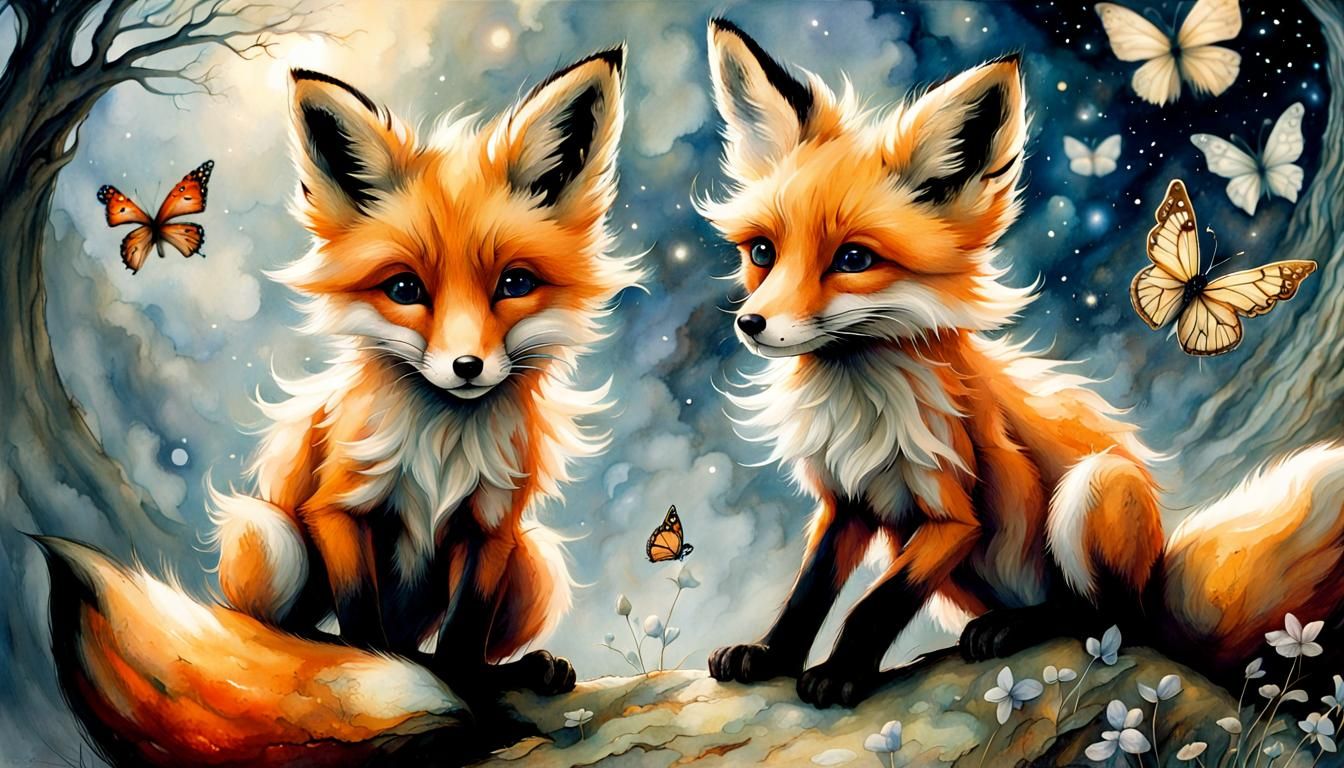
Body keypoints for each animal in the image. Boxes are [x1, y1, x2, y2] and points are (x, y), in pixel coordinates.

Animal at [39, 48, 639, 765]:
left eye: (514, 284)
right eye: (404, 289)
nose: (467, 368)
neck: (442, 444)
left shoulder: (492, 528)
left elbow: (463, 642)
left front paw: (474, 696)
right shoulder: (338, 508)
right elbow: (361, 622)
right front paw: (392, 684)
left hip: (536, 564)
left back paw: (517, 668)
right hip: (272, 539)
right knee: (291, 629)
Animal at [699, 18, 1344, 709]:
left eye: (853, 259)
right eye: (762, 253)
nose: (750, 325)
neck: (859, 404)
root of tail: (1158, 589)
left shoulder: (953, 514)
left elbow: (876, 604)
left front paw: (842, 672)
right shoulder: (842, 501)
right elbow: (807, 595)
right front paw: (770, 655)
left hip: (1095, 490)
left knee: (1107, 622)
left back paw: (1016, 627)